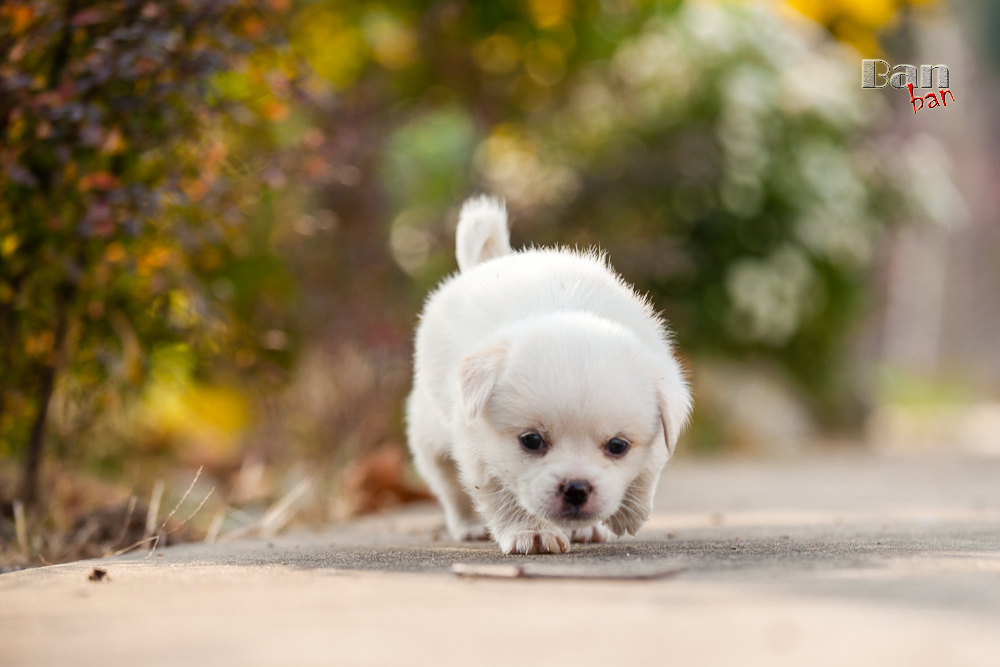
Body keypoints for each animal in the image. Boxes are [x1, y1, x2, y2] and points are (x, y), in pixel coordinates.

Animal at [402, 197, 692, 552]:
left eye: (618, 446)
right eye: (531, 441)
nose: (576, 488)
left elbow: (648, 469)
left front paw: (628, 512)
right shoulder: (478, 451)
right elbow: (502, 495)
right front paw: (531, 532)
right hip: (430, 440)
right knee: (451, 489)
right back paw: (470, 526)